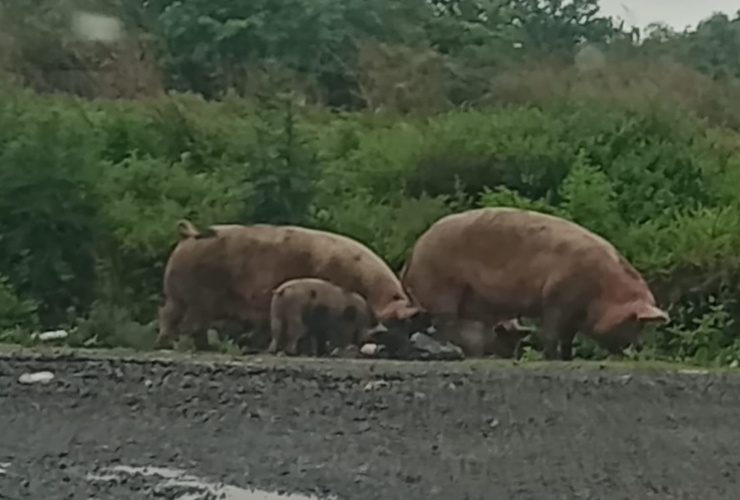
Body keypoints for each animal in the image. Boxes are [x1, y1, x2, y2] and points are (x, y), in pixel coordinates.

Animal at [156, 219, 422, 352]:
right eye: (396, 323)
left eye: (410, 327)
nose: (407, 351)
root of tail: (190, 235)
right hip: (197, 296)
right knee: (189, 324)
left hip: (176, 295)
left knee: (168, 315)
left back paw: (167, 344)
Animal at [402, 206, 668, 360]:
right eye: (636, 323)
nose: (639, 350)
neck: (602, 291)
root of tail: (413, 254)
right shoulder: (556, 298)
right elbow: (551, 332)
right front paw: (551, 358)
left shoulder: (573, 314)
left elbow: (568, 338)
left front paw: (567, 358)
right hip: (441, 288)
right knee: (445, 322)